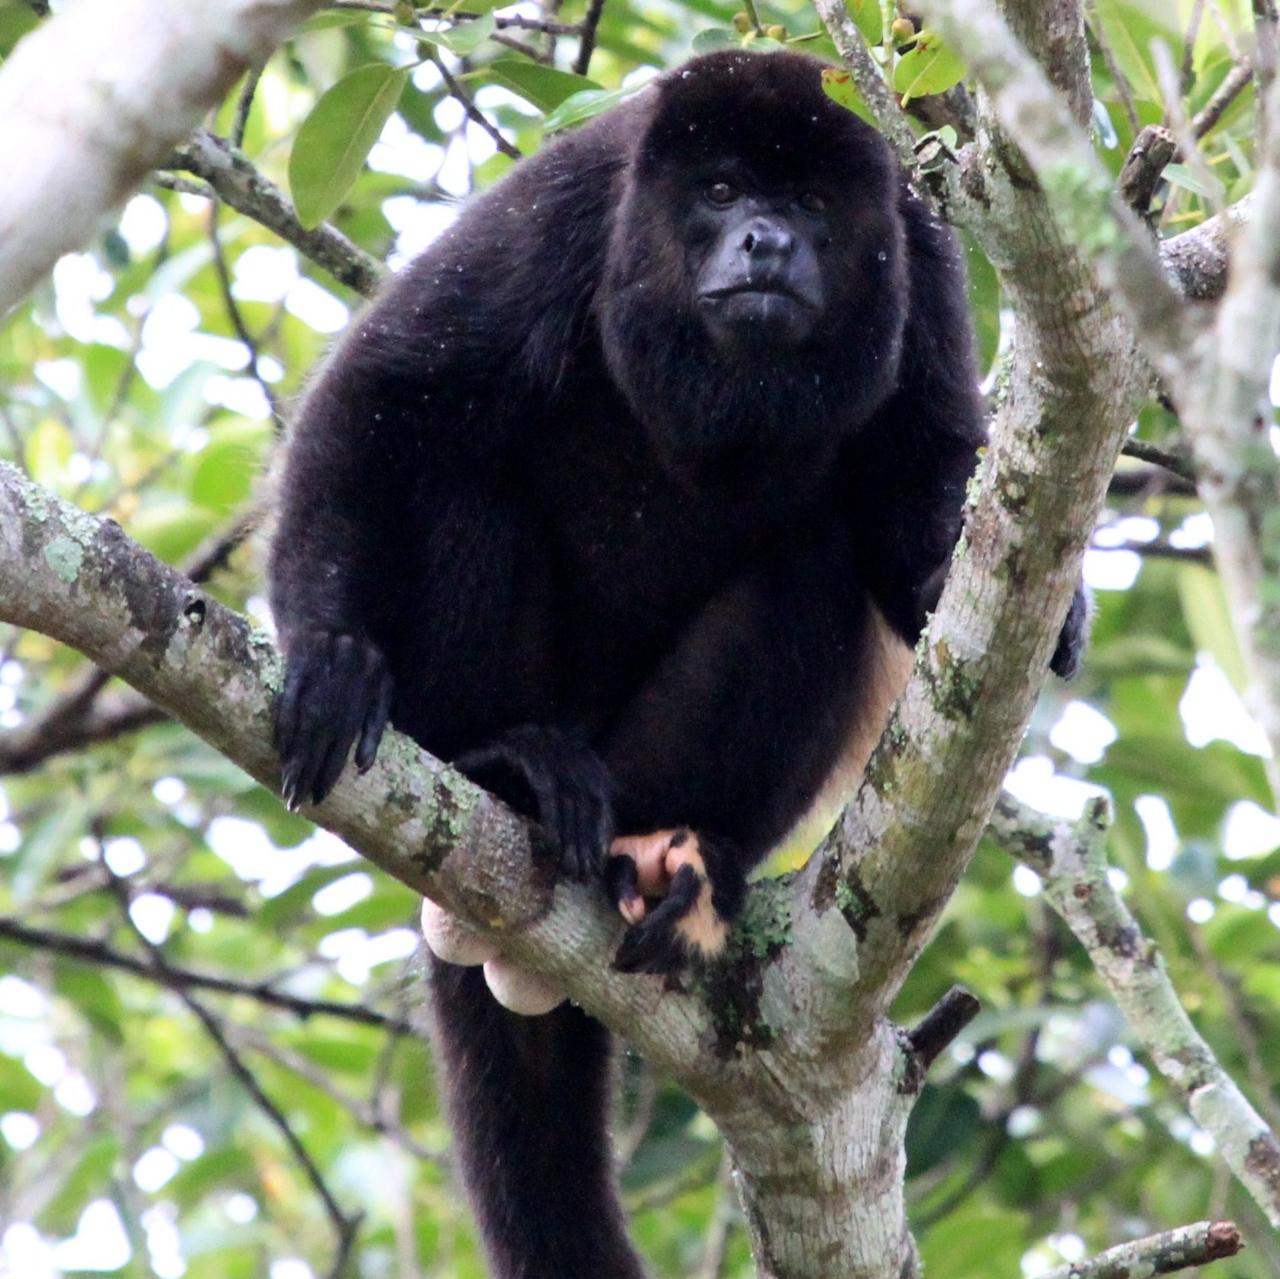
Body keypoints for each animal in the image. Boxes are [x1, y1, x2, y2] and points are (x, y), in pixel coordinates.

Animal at [267, 49, 1080, 1279]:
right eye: (720, 189)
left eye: (808, 205)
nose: (764, 241)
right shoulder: (569, 201)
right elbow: (387, 391)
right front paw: (328, 654)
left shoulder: (927, 263)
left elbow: (917, 493)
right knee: (464, 480)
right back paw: (503, 763)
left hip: (650, 760)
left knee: (814, 560)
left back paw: (678, 857)